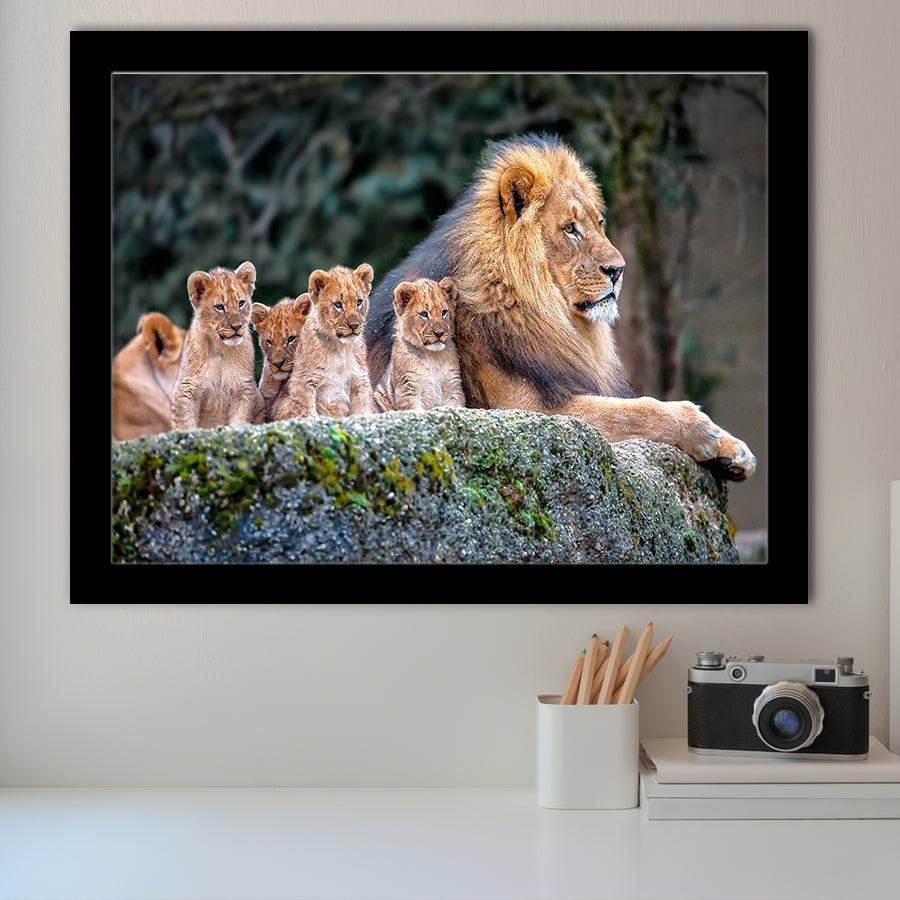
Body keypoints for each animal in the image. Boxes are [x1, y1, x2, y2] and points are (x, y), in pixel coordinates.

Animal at [171, 260, 262, 431]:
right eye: (220, 307)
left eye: (241, 303)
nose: (237, 326)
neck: (221, 350)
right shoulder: (187, 388)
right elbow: (185, 422)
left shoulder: (244, 387)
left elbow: (240, 418)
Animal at [275, 263, 376, 419]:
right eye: (338, 304)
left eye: (359, 302)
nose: (354, 325)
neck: (341, 349)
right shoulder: (303, 383)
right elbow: (307, 413)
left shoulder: (360, 381)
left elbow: (364, 411)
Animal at [373, 277, 465, 412]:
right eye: (424, 314)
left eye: (444, 312)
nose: (439, 333)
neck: (432, 357)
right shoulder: (407, 389)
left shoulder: (454, 386)